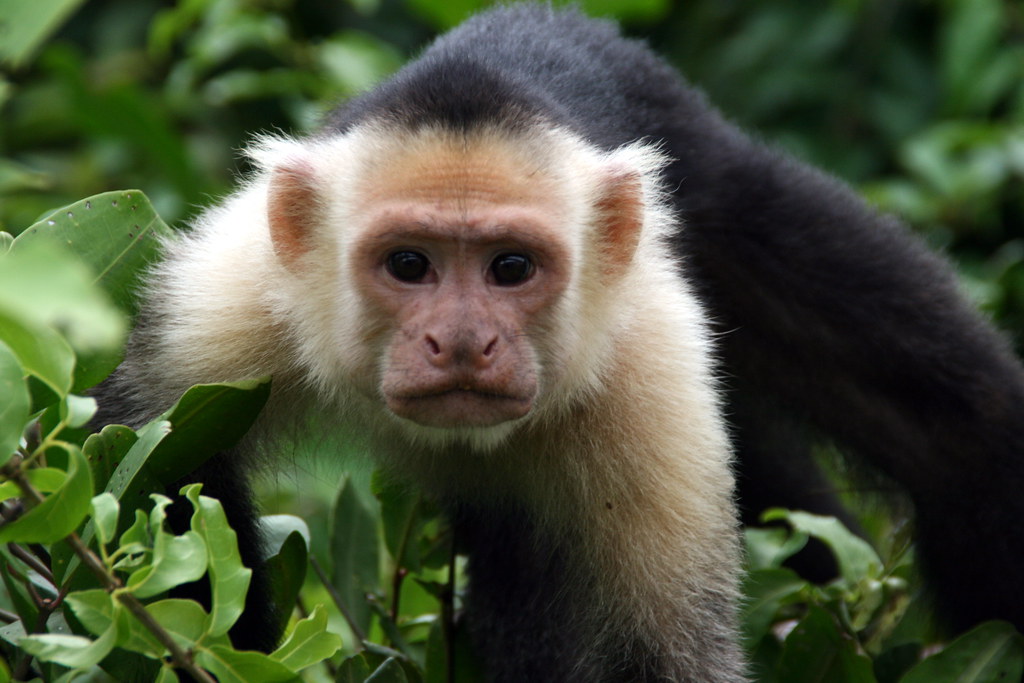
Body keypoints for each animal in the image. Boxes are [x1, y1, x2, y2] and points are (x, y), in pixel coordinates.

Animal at [92, 2, 1024, 681]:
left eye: (510, 267)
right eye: (408, 264)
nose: (462, 340)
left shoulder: (652, 367)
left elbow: (664, 652)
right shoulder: (227, 297)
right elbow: (161, 474)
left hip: (724, 183)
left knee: (961, 428)